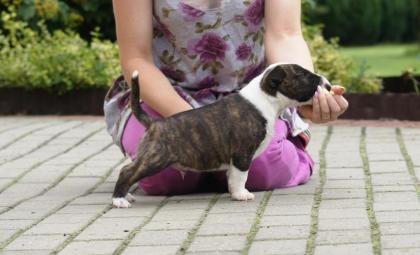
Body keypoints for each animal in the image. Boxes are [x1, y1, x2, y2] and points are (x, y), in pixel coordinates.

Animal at [111, 62, 332, 208]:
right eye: (304, 76)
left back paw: (126, 196)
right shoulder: (243, 155)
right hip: (156, 158)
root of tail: (155, 123)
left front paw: (236, 194)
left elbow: (233, 177)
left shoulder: (236, 159)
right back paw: (119, 199)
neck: (264, 99)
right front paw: (242, 195)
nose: (327, 84)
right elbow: (241, 177)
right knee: (127, 171)